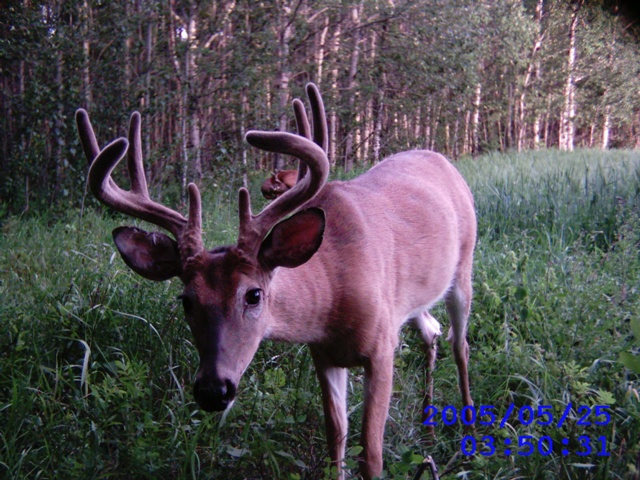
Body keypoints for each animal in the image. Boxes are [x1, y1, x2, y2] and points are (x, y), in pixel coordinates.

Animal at [75, 84, 476, 478]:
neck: (332, 292)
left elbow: (371, 456)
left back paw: (469, 436)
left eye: (253, 295)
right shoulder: (323, 354)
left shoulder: (381, 348)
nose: (213, 390)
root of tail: (440, 159)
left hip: (464, 267)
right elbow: (336, 441)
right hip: (416, 298)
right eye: (185, 300)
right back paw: (427, 428)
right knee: (432, 331)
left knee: (460, 344)